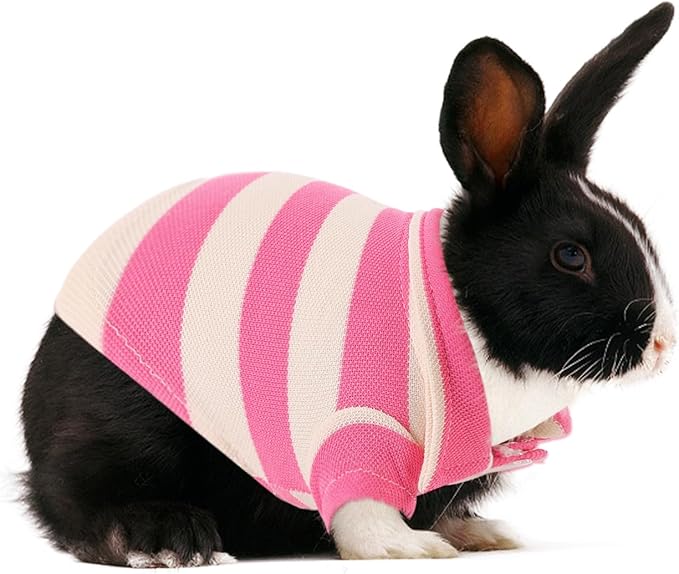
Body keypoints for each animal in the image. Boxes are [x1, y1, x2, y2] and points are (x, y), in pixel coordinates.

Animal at [20, 2, 676, 567]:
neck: (461, 315)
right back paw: (167, 538)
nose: (663, 344)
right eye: (570, 255)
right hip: (123, 421)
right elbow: (362, 507)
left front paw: (470, 532)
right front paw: (409, 548)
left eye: (644, 232)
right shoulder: (354, 430)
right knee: (77, 497)